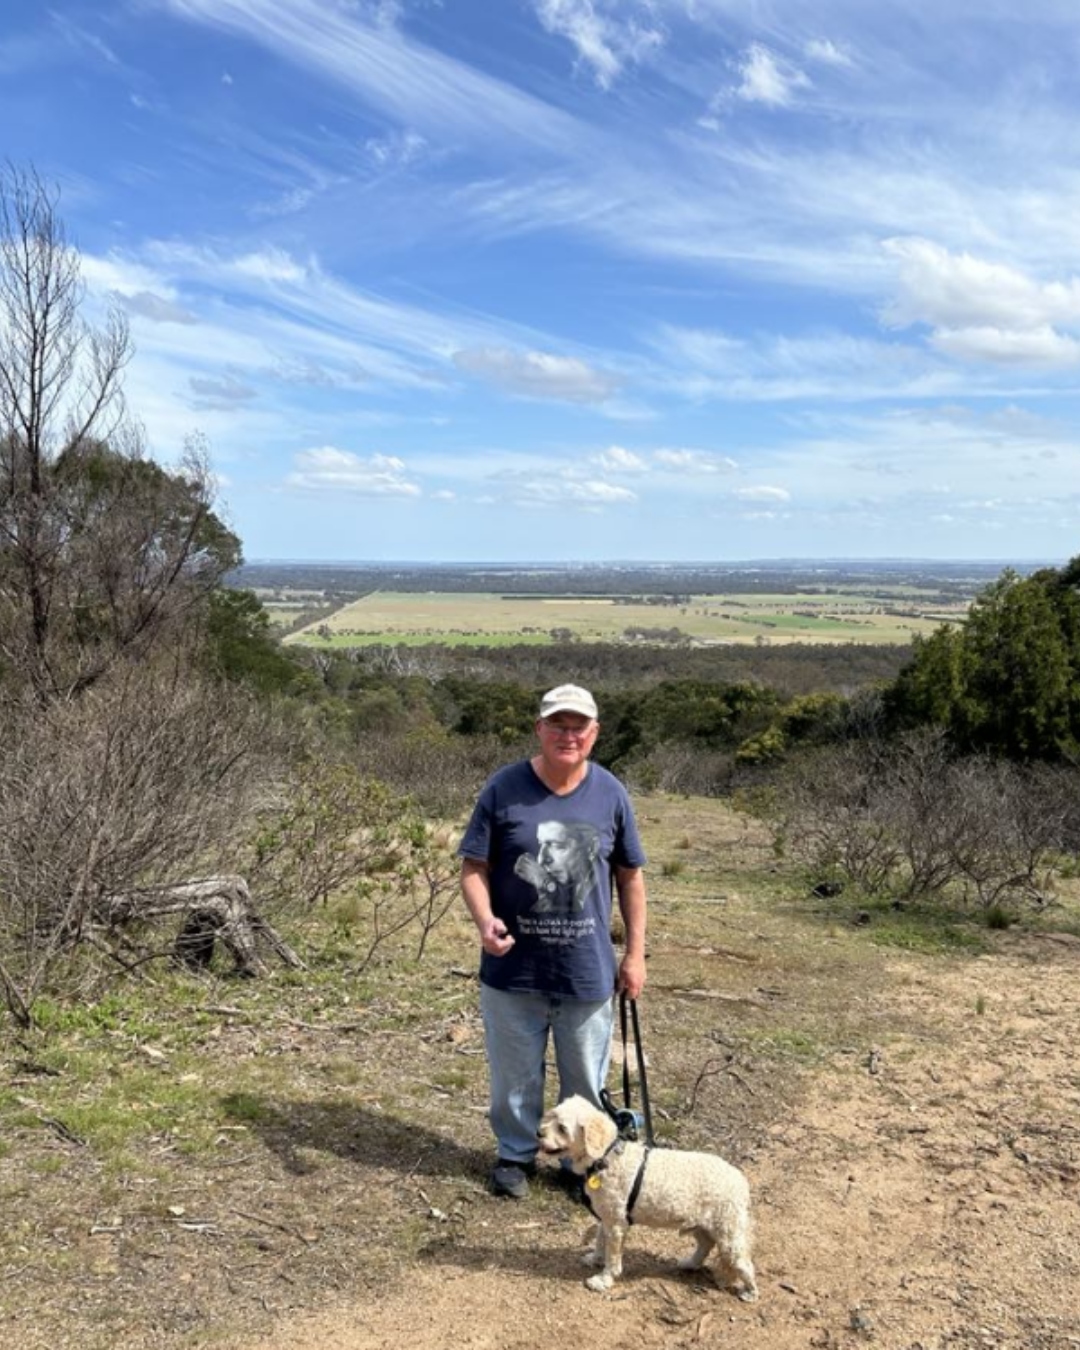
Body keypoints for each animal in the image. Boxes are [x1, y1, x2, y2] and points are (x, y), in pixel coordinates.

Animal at [537, 1095, 758, 1299]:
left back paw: (750, 1291)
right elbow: (600, 1240)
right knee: (706, 1245)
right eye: (552, 1115)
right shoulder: (606, 1218)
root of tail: (740, 1180)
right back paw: (690, 1263)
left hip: (729, 1233)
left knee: (743, 1262)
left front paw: (604, 1279)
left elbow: (612, 1256)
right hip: (701, 1225)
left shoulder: (616, 1225)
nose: (538, 1132)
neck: (606, 1158)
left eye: (562, 1128)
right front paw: (595, 1259)